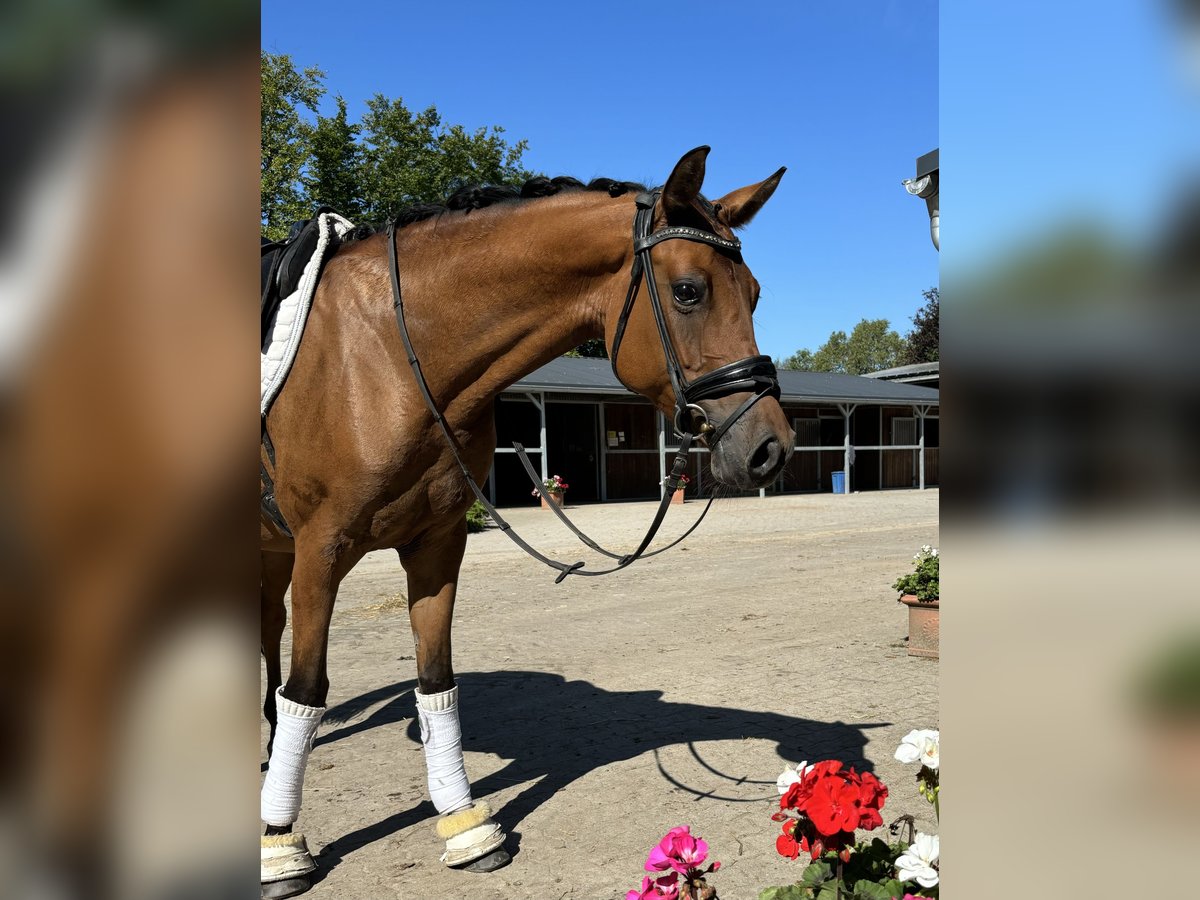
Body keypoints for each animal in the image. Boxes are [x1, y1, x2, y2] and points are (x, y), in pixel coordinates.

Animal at [258, 146, 792, 897]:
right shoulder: (320, 550)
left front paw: (466, 829)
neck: (388, 353)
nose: (770, 448)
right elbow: (307, 688)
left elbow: (436, 682)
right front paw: (280, 845)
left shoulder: (435, 544)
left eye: (755, 293)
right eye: (689, 290)